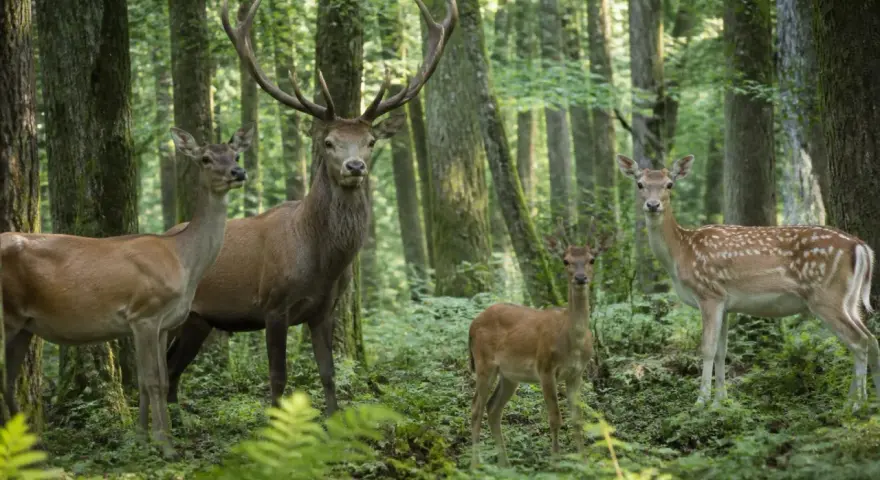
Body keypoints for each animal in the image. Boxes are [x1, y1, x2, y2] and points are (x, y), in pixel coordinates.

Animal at [1, 126, 252, 457]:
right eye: (206, 158)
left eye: (236, 155)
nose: (239, 172)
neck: (183, 261)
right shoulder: (145, 313)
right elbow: (154, 381)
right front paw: (165, 445)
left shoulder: (161, 323)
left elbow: (154, 380)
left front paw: (142, 439)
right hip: (6, 317)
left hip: (24, 325)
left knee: (7, 381)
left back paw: (32, 448)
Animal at [162, 0, 458, 415]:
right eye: (329, 142)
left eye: (370, 141)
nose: (355, 166)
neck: (321, 261)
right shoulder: (272, 305)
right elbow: (278, 378)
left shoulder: (324, 309)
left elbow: (328, 373)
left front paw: (333, 420)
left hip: (198, 320)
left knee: (173, 369)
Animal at [467, 227, 612, 468]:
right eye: (565, 260)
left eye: (592, 259)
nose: (580, 278)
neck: (572, 341)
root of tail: (472, 325)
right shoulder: (545, 367)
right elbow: (555, 418)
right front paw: (555, 463)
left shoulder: (577, 373)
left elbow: (577, 420)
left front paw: (583, 463)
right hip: (483, 362)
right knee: (476, 407)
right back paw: (475, 465)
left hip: (509, 375)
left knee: (493, 408)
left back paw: (505, 464)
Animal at [617, 153, 879, 410]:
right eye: (639, 183)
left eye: (669, 184)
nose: (653, 205)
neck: (681, 252)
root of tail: (861, 247)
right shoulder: (725, 303)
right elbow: (722, 351)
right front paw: (721, 401)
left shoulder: (709, 293)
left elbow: (707, 349)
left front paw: (701, 403)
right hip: (849, 300)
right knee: (871, 338)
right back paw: (867, 400)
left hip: (826, 296)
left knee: (859, 341)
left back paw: (856, 405)